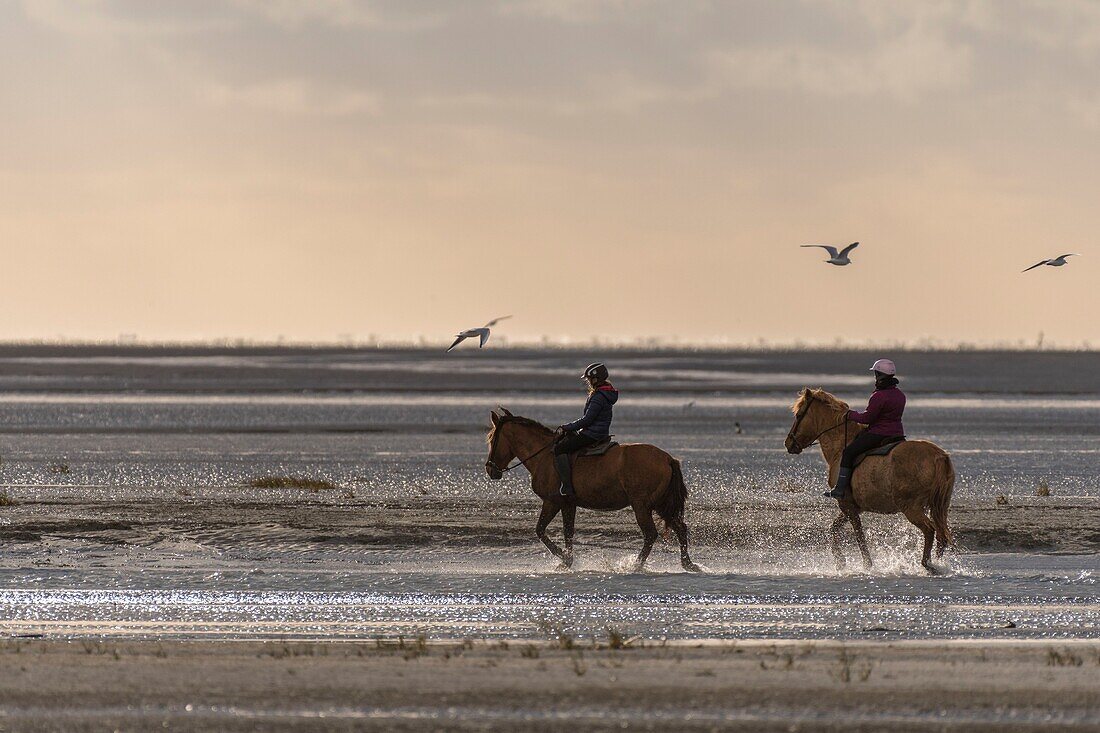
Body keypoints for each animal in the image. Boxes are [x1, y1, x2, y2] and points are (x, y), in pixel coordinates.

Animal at [486, 405, 699, 572]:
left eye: (491, 439)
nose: (490, 469)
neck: (544, 456)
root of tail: (668, 459)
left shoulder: (552, 501)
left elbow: (540, 531)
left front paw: (563, 558)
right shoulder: (568, 504)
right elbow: (568, 532)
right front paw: (567, 560)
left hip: (642, 505)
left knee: (650, 534)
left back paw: (635, 565)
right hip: (661, 504)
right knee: (680, 528)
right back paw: (688, 564)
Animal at [783, 385, 954, 572]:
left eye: (799, 415)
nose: (788, 443)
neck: (840, 446)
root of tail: (939, 455)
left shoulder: (847, 505)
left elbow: (858, 535)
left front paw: (866, 564)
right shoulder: (853, 506)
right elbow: (834, 529)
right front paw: (841, 562)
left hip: (911, 507)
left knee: (930, 530)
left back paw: (927, 564)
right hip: (939, 506)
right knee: (941, 535)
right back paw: (937, 563)